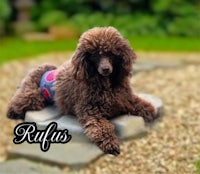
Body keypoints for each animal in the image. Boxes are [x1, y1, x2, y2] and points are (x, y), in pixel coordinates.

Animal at [6, 26, 158, 155]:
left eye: (111, 54)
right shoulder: (92, 113)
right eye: (95, 55)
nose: (106, 69)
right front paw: (111, 145)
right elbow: (103, 129)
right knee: (18, 100)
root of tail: (41, 69)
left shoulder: (125, 99)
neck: (106, 85)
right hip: (34, 96)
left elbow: (141, 105)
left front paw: (150, 111)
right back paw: (12, 113)